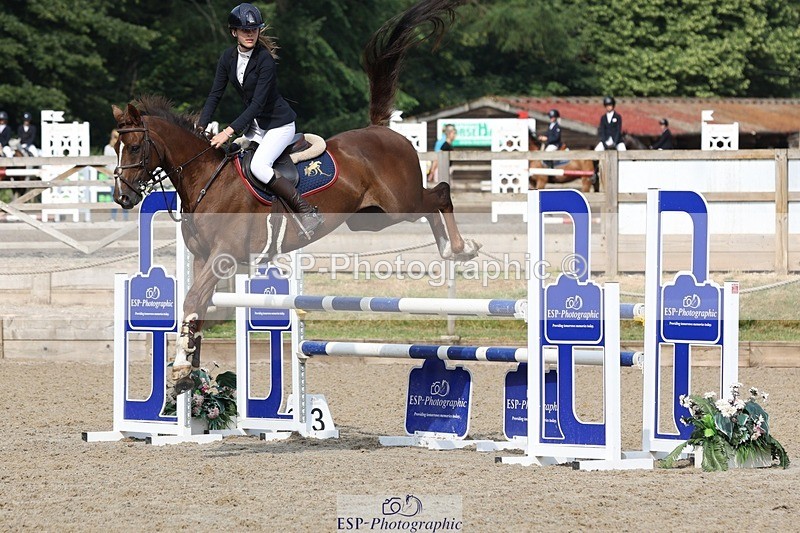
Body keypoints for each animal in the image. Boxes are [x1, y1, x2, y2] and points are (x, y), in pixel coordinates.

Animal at [111, 0, 478, 392]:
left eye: (135, 147)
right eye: (116, 146)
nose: (122, 197)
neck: (207, 180)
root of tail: (381, 130)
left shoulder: (223, 256)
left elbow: (194, 299)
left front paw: (181, 367)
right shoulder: (201, 257)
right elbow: (195, 306)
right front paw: (189, 375)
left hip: (400, 204)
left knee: (440, 195)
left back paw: (460, 248)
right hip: (372, 219)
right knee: (431, 203)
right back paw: (450, 249)